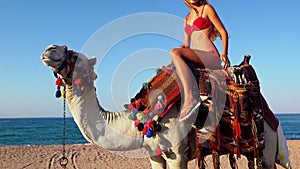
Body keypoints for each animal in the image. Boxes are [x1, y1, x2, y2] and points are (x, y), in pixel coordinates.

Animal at [41, 45, 292, 169]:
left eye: (74, 55)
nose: (49, 49)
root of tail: (272, 118)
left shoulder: (176, 154)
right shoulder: (155, 155)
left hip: (266, 149)